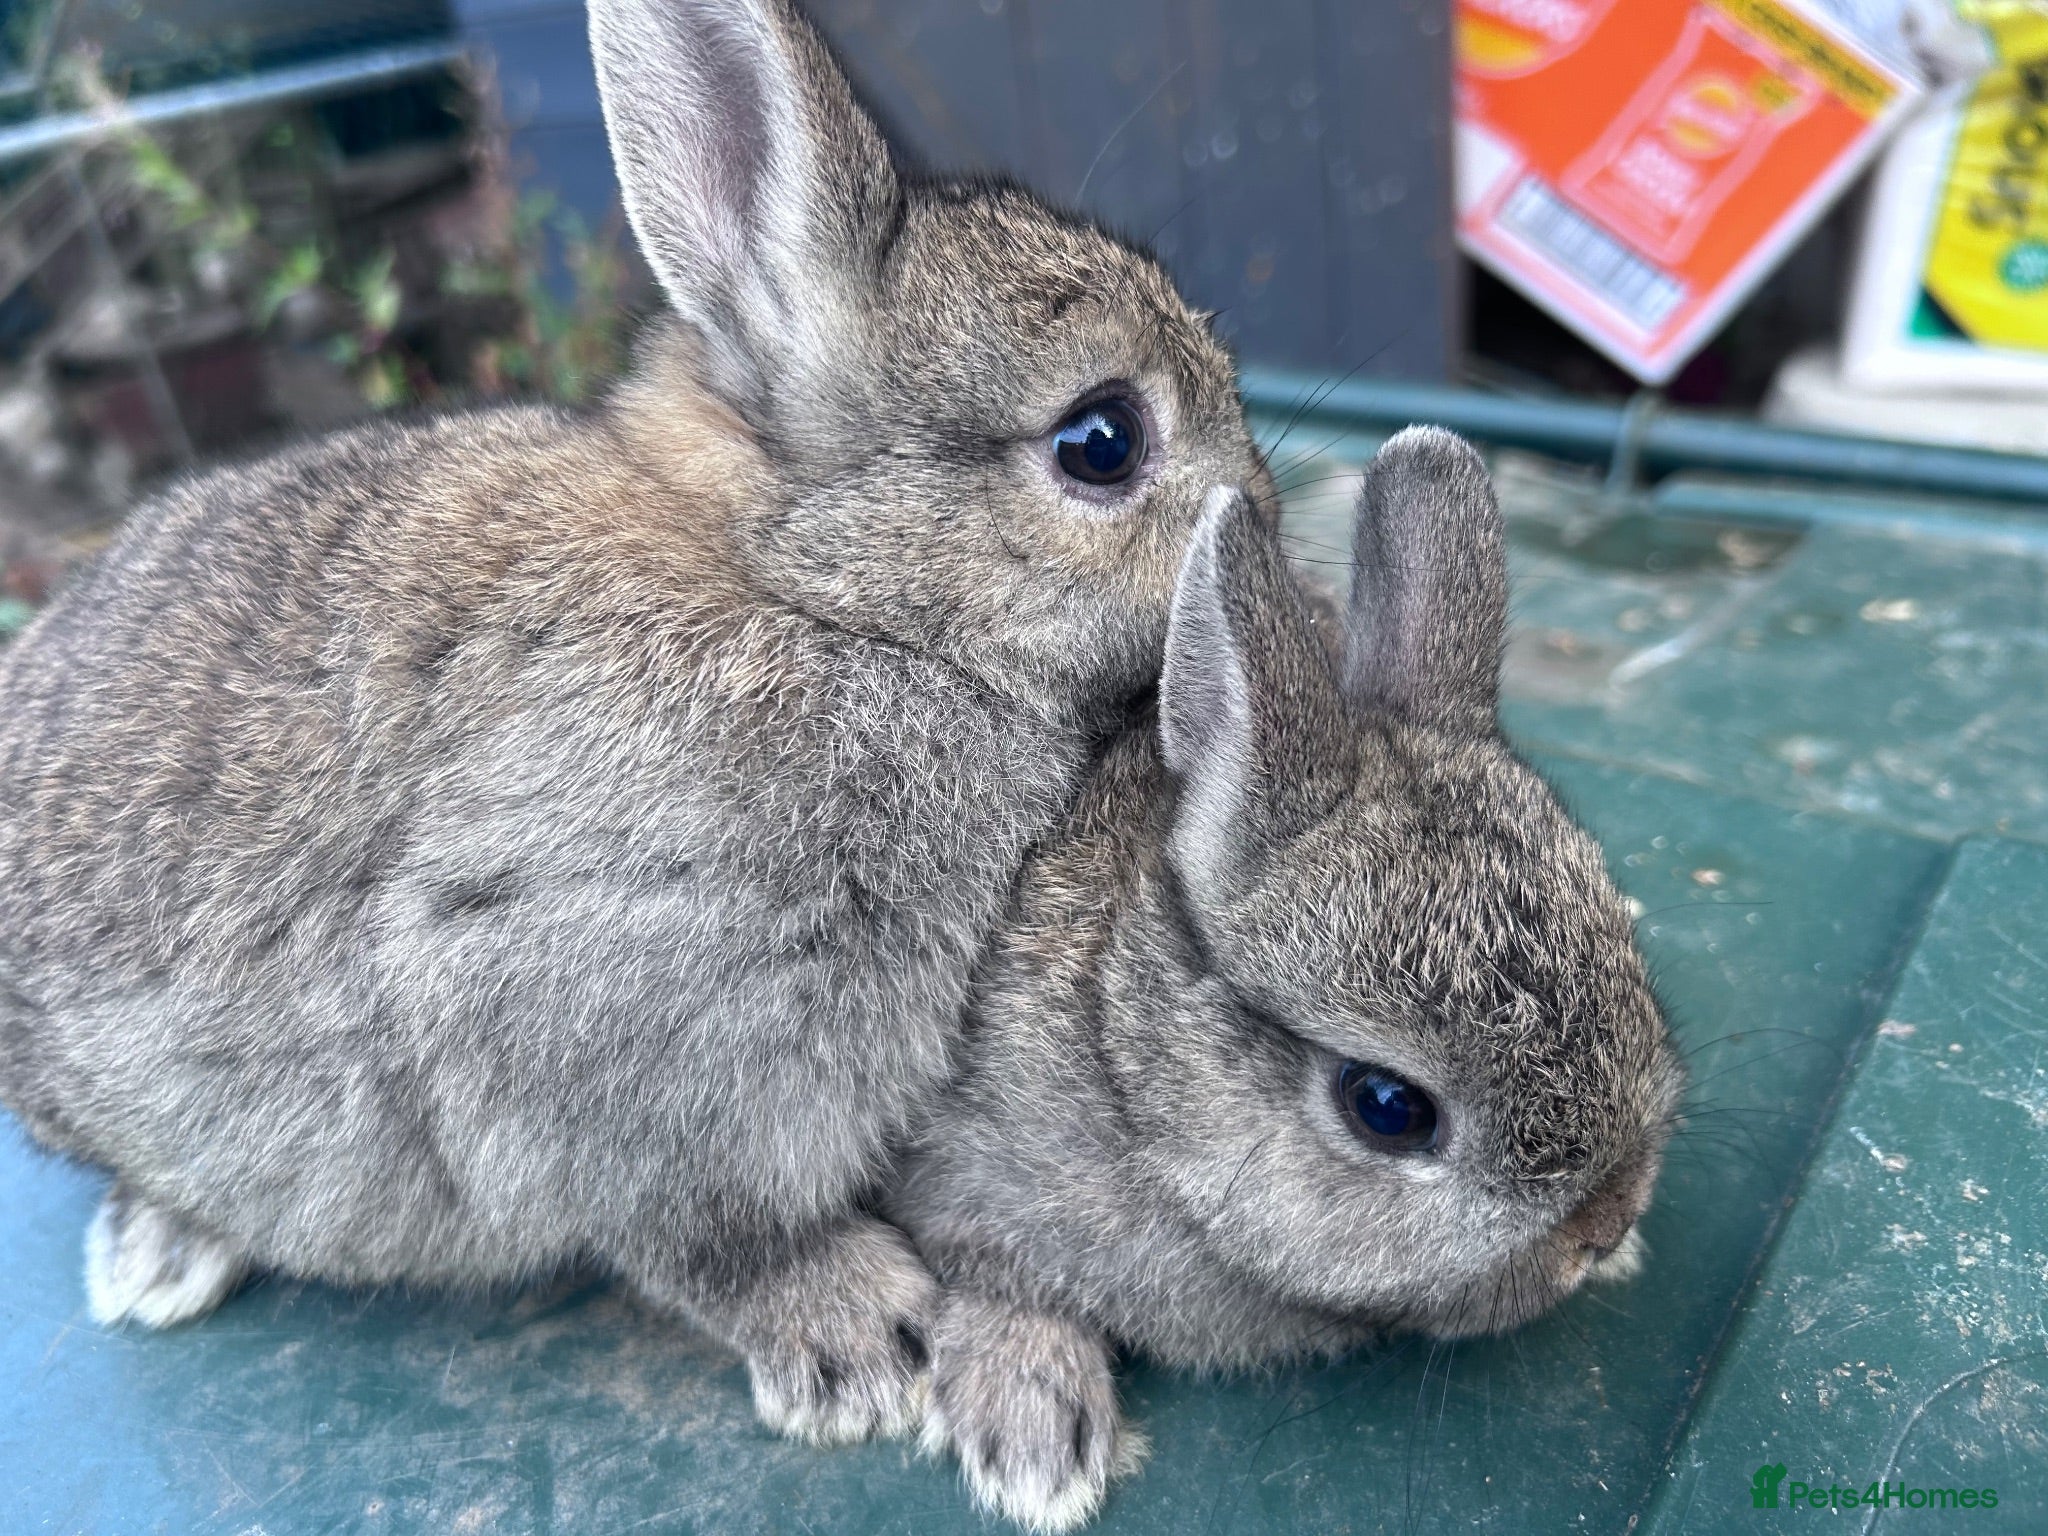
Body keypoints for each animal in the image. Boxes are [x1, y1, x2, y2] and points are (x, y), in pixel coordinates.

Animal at [0, 0, 1264, 1445]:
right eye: (1101, 440)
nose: (1266, 518)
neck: (819, 595)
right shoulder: (574, 1010)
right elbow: (694, 1234)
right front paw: (856, 1336)